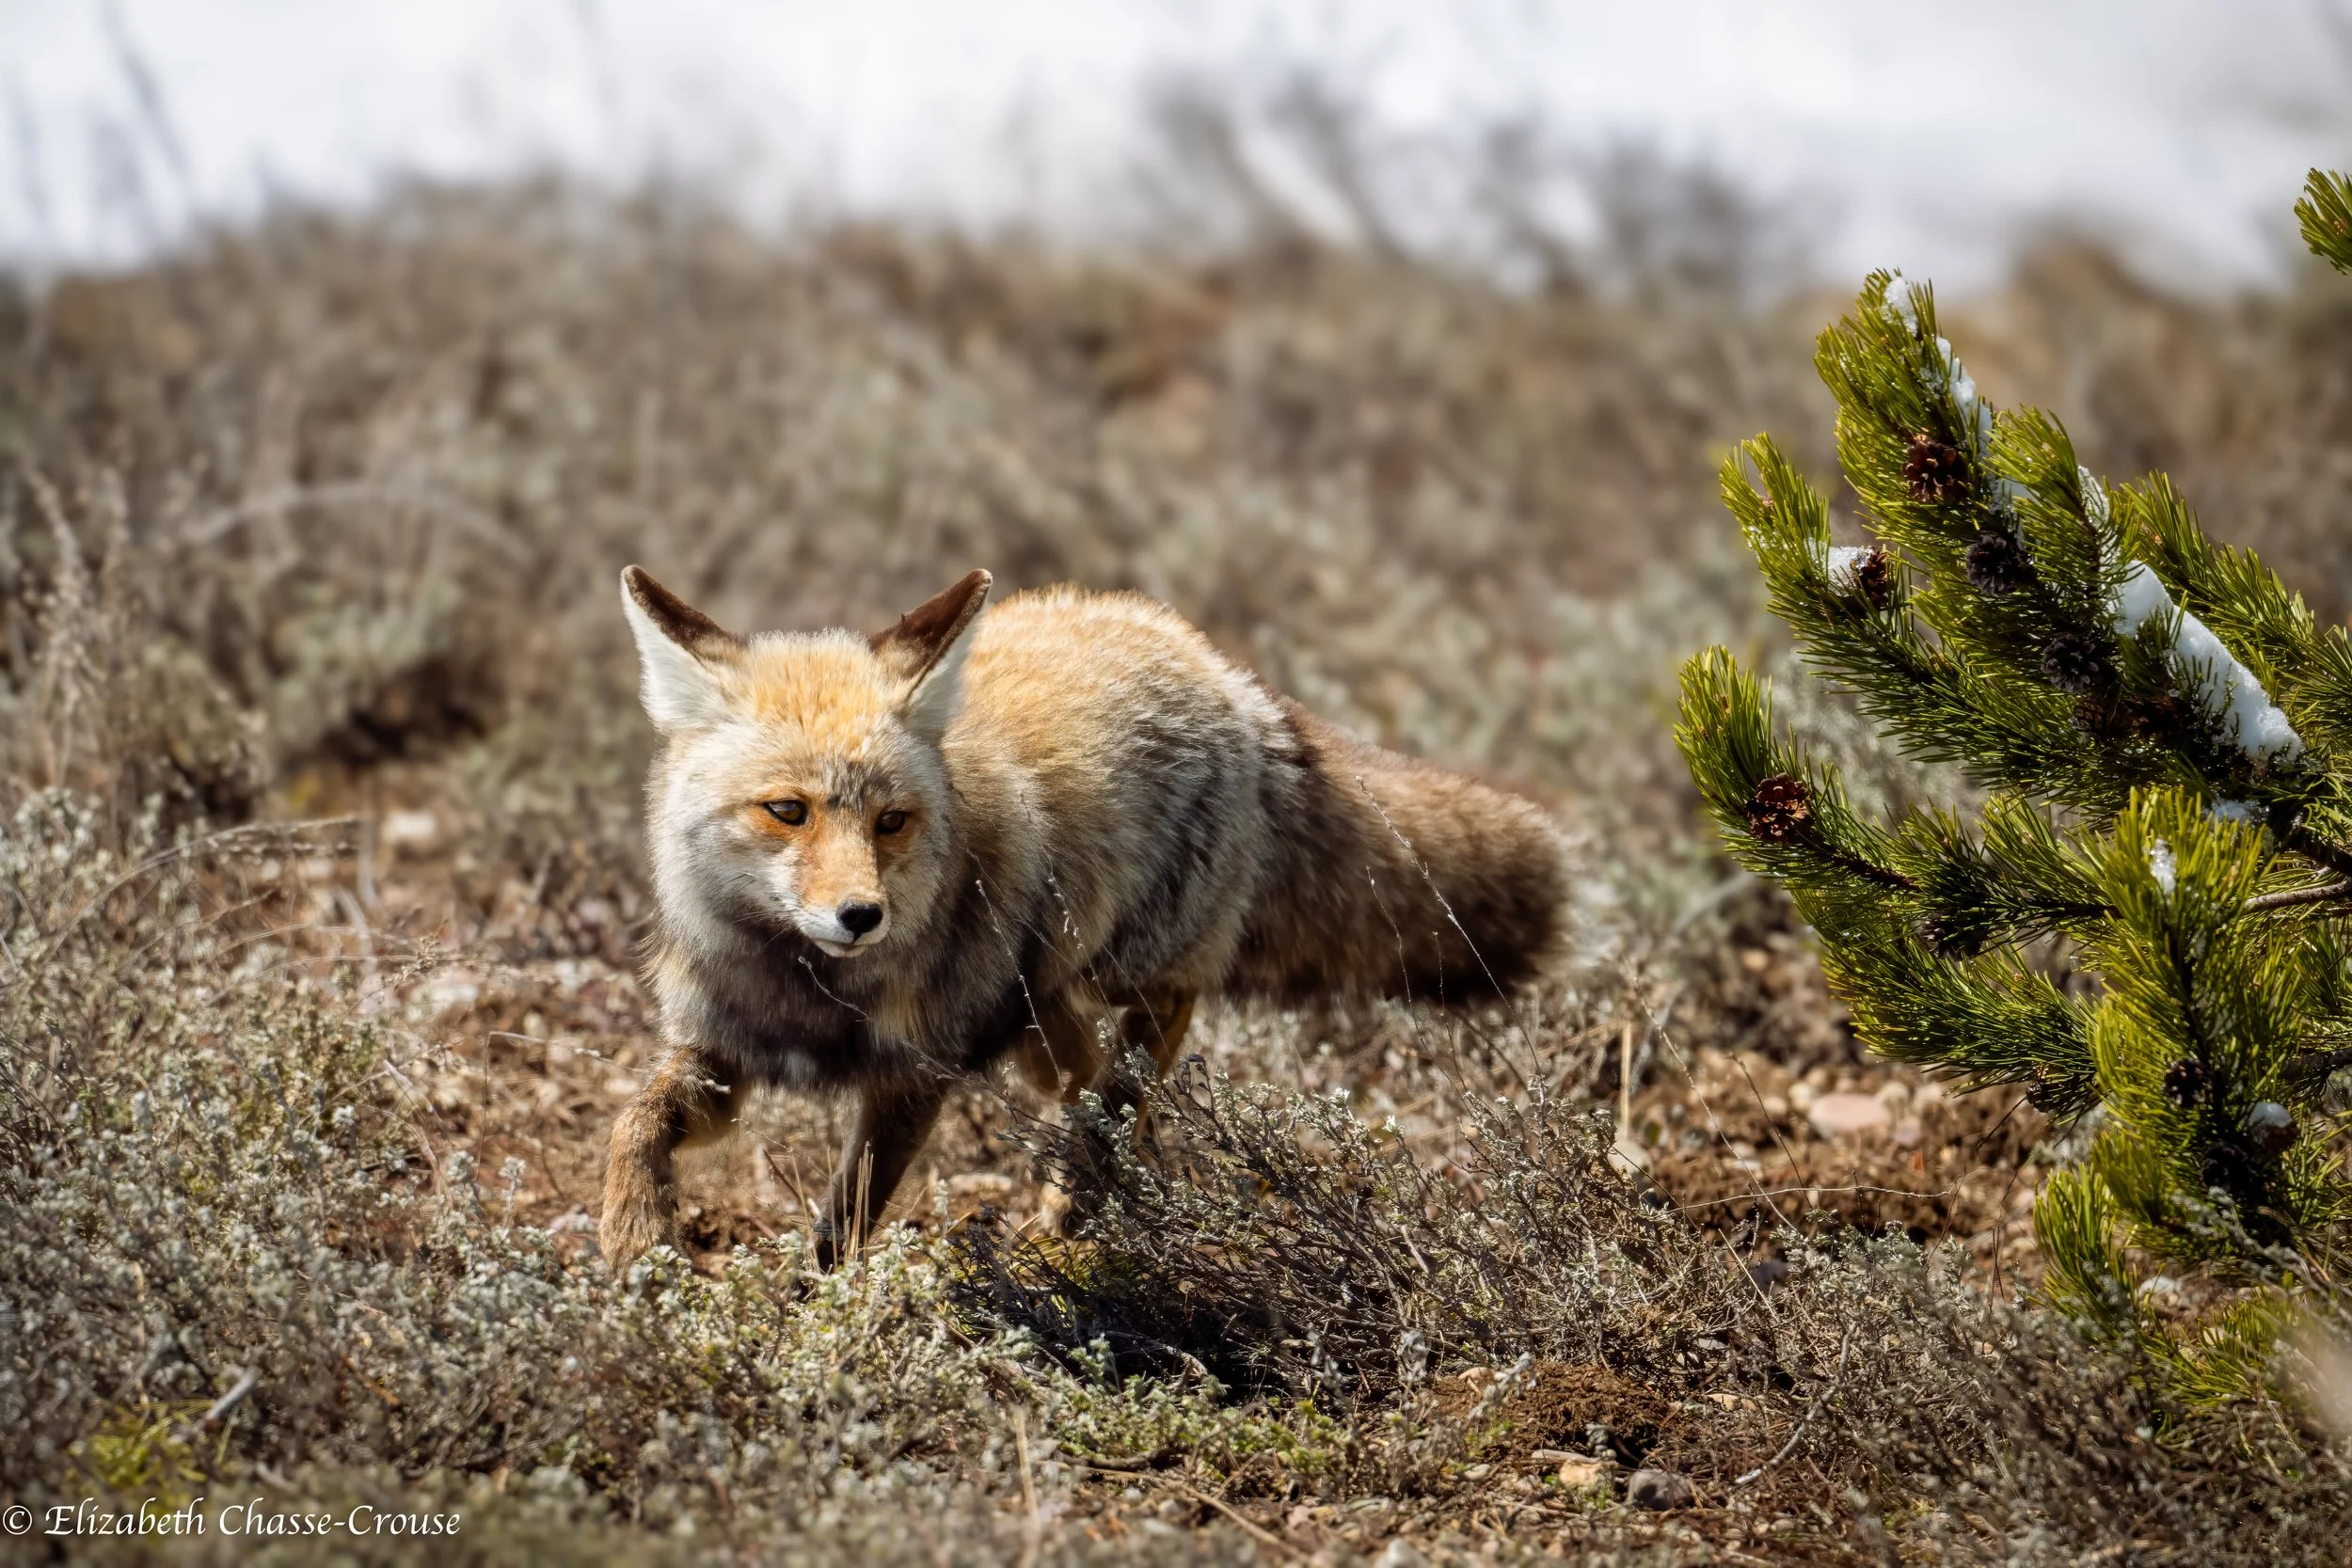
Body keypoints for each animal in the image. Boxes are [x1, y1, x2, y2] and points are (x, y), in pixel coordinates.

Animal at [600, 565, 1569, 1270]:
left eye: (891, 821)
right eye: (788, 811)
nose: (861, 915)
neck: (806, 990)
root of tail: (1226, 674)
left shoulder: (913, 1075)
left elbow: (842, 1225)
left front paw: (816, 1315)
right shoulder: (725, 1049)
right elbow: (634, 1123)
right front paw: (634, 1239)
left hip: (1125, 969)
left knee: (1140, 1055)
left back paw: (1077, 1207)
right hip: (1041, 1007)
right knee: (1081, 1074)